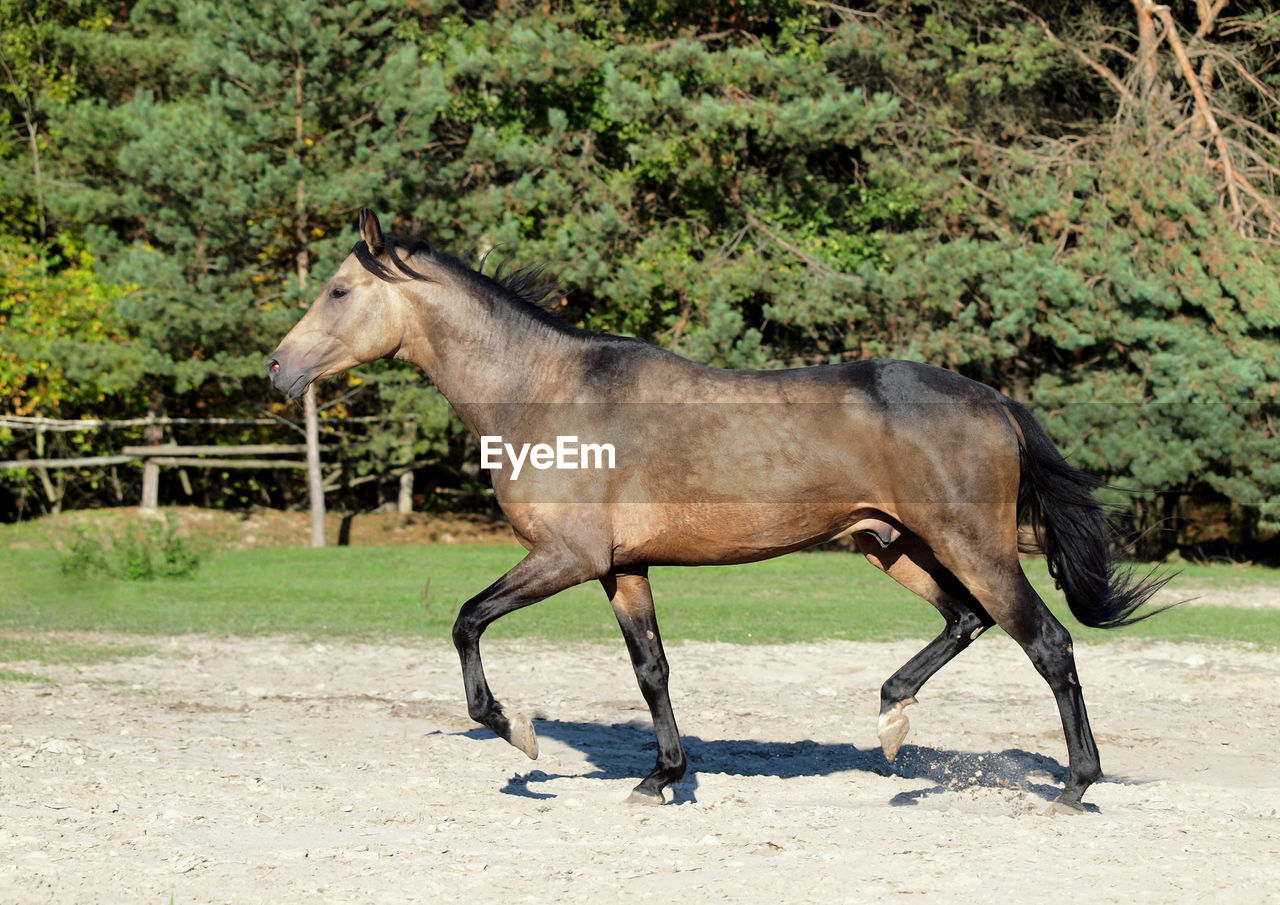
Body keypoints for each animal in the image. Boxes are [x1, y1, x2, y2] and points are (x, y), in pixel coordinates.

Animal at [270, 211, 1172, 814]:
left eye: (339, 289)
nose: (278, 368)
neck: (548, 393)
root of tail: (994, 399)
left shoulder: (565, 556)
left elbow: (466, 620)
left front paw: (516, 732)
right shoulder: (621, 567)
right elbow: (652, 669)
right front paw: (660, 776)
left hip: (971, 544)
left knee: (1047, 644)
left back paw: (1073, 785)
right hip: (894, 545)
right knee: (965, 621)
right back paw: (891, 719)